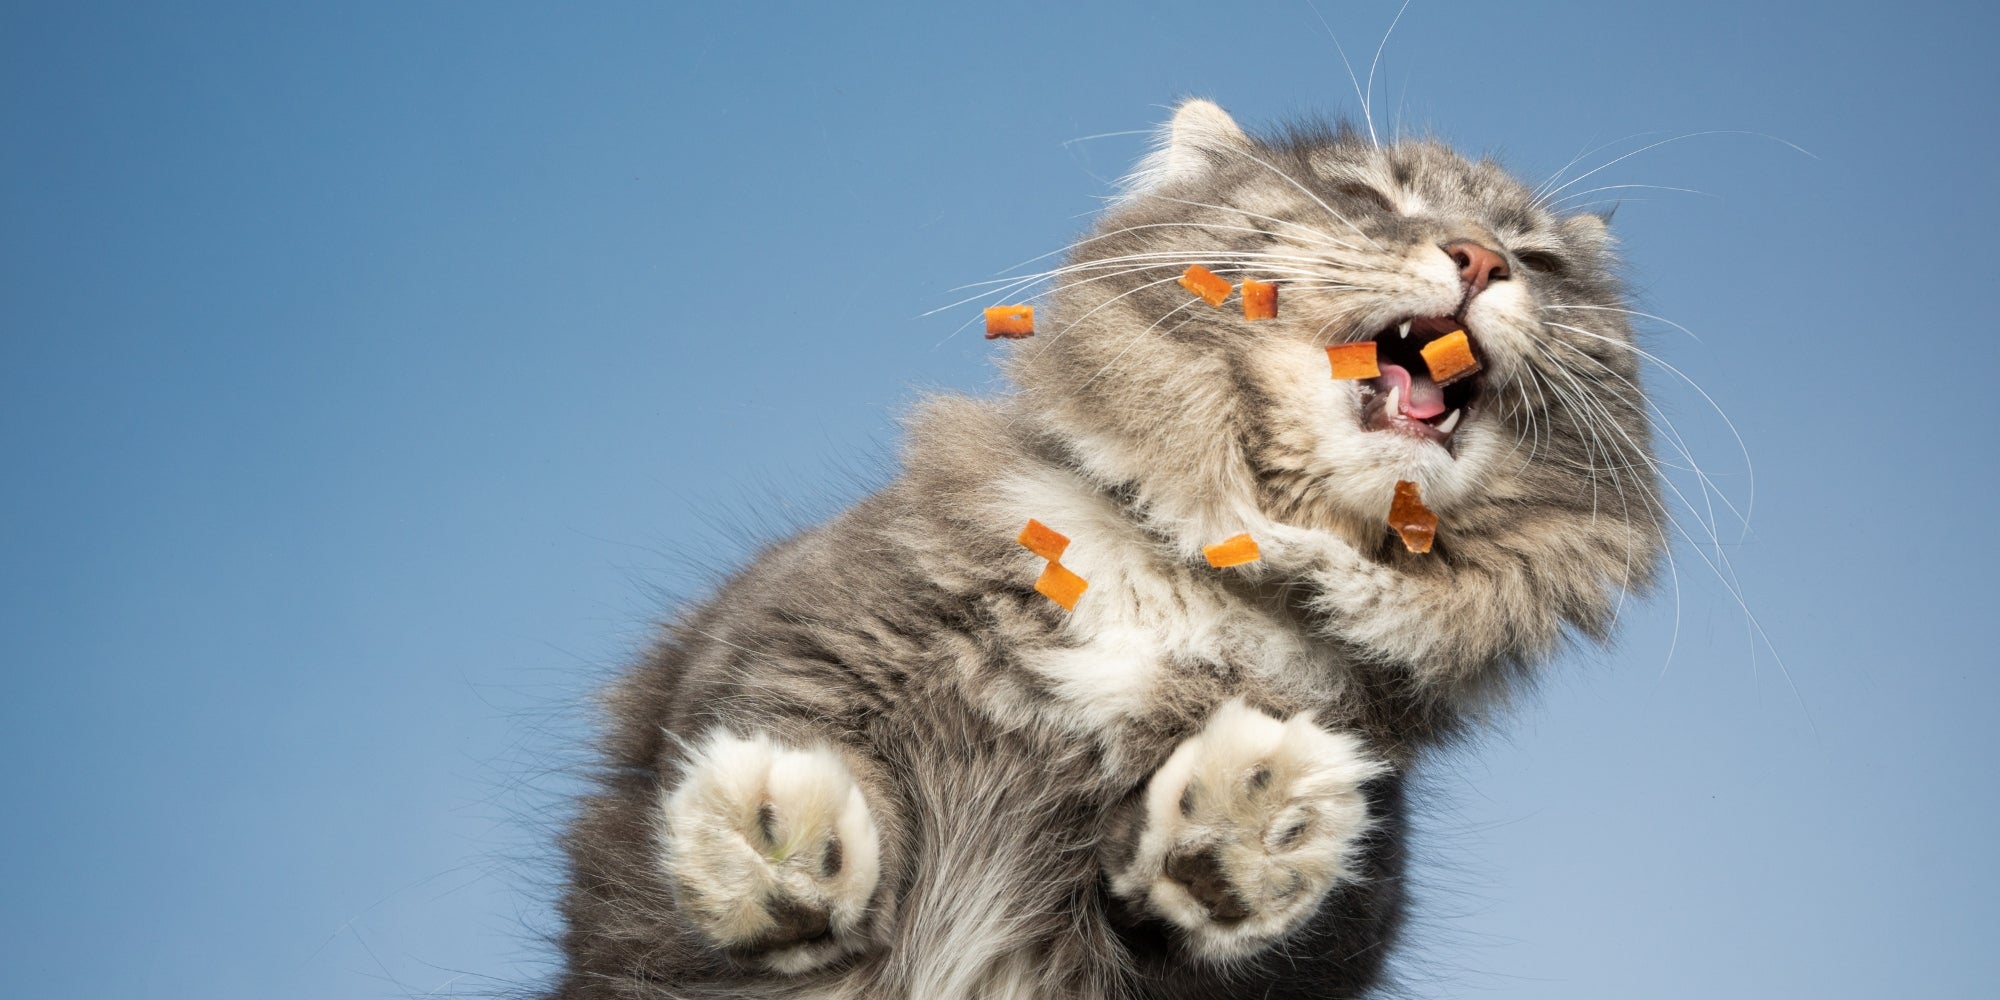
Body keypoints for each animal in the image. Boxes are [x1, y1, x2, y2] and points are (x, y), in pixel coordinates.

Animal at [548, 95, 1672, 1000]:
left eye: (1539, 261)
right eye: (1368, 195)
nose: (1480, 257)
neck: (1190, 576)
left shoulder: (1351, 906)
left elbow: (1249, 900)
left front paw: (1251, 822)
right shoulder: (783, 647)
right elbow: (796, 754)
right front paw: (768, 829)